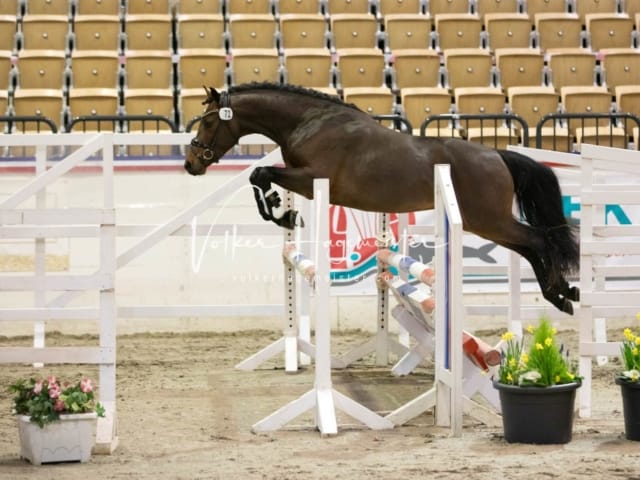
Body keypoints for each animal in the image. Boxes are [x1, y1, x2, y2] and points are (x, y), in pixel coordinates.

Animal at [185, 82, 580, 316]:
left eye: (208, 122)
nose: (191, 163)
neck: (310, 122)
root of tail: (497, 155)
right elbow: (260, 177)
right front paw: (283, 213)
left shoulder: (312, 180)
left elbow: (260, 175)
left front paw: (282, 214)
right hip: (486, 224)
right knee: (531, 248)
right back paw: (563, 294)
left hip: (490, 220)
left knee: (539, 241)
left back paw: (560, 293)